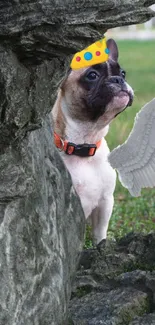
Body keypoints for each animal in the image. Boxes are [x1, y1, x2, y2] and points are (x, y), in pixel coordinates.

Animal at [51, 39, 133, 243]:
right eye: (92, 75)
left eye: (122, 73)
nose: (118, 79)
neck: (83, 144)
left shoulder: (105, 202)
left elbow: (100, 232)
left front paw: (101, 246)